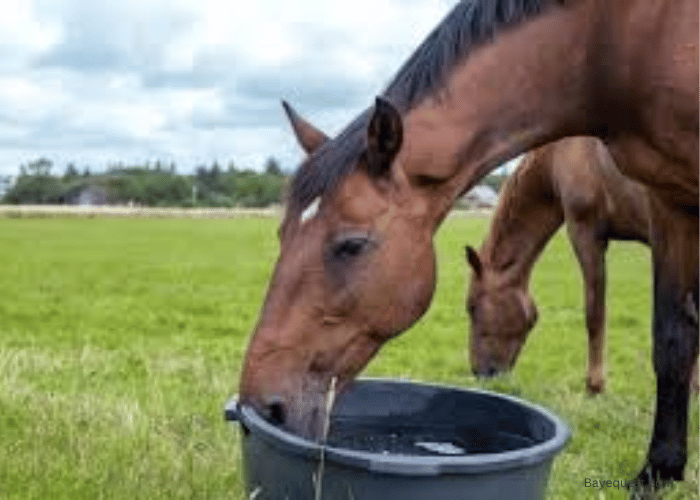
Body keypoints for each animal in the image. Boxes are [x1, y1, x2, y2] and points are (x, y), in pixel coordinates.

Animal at [242, 0, 700, 492]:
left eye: (352, 245)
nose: (262, 404)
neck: (615, 44)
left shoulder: (589, 227)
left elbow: (598, 313)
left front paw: (599, 389)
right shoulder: (670, 205)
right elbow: (673, 338)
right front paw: (660, 470)